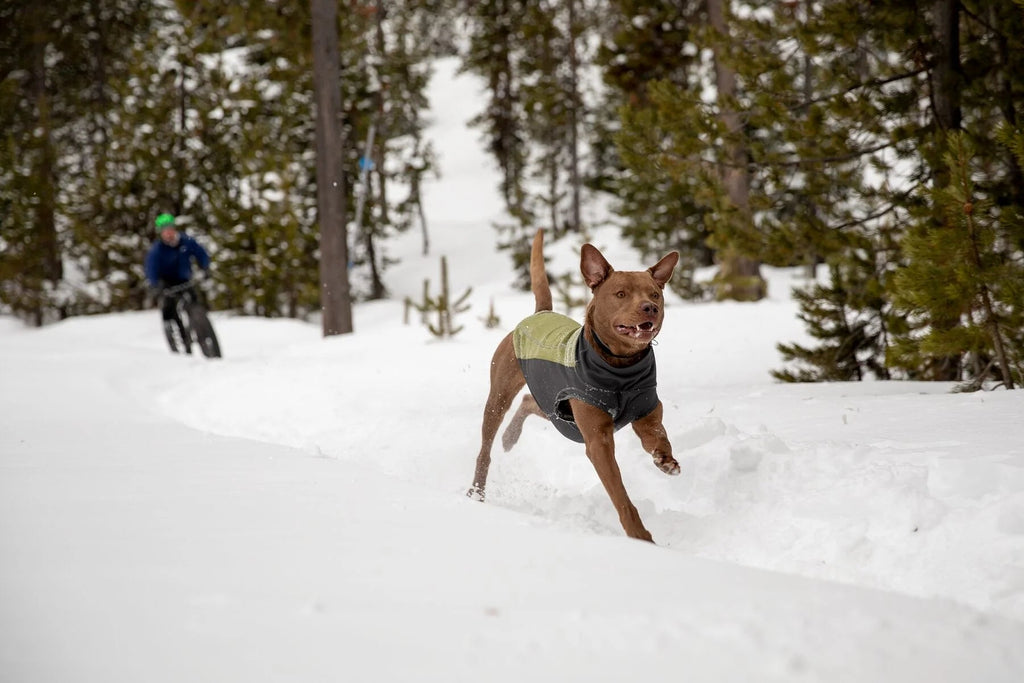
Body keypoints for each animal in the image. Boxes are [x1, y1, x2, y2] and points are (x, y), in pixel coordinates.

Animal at [468, 232, 679, 540]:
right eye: (621, 294)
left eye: (654, 294)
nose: (650, 308)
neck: (621, 367)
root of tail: (541, 312)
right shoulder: (597, 441)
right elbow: (620, 495)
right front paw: (640, 536)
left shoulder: (646, 411)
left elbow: (657, 436)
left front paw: (665, 459)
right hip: (500, 397)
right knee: (485, 450)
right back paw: (477, 491)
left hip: (558, 412)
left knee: (530, 403)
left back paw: (510, 437)